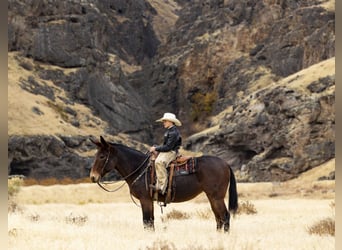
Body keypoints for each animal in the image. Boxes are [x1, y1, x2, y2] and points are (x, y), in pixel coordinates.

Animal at [89, 136, 238, 231]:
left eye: (102, 156)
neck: (140, 169)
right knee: (218, 218)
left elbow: (147, 222)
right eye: (96, 155)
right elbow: (150, 222)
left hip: (216, 197)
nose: (93, 177)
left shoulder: (145, 200)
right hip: (212, 197)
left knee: (225, 216)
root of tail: (225, 164)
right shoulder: (149, 201)